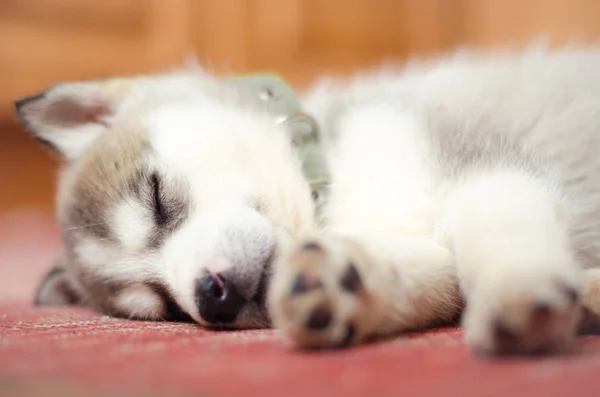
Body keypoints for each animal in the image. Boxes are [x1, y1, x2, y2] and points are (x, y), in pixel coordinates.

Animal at [15, 44, 600, 354]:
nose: (211, 297)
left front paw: (516, 291)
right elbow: (430, 274)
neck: (331, 184)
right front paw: (346, 284)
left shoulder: (488, 164)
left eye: (156, 198)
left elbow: (502, 229)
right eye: (164, 309)